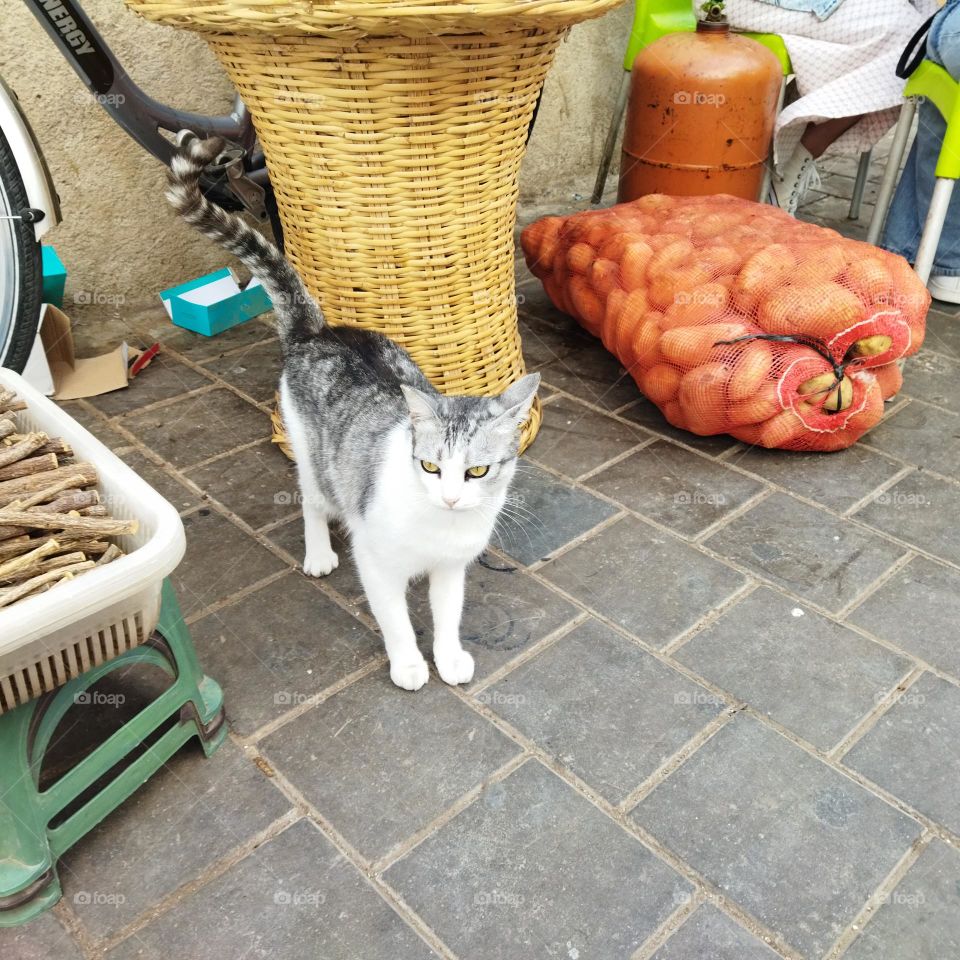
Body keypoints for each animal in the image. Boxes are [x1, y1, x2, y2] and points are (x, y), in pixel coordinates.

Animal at [167, 135, 540, 688]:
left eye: (477, 471)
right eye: (430, 465)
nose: (451, 498)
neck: (440, 526)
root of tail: (319, 332)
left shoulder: (451, 567)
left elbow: (449, 612)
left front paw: (449, 656)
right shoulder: (374, 556)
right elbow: (395, 617)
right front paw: (408, 663)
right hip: (311, 452)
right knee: (311, 497)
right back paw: (319, 551)